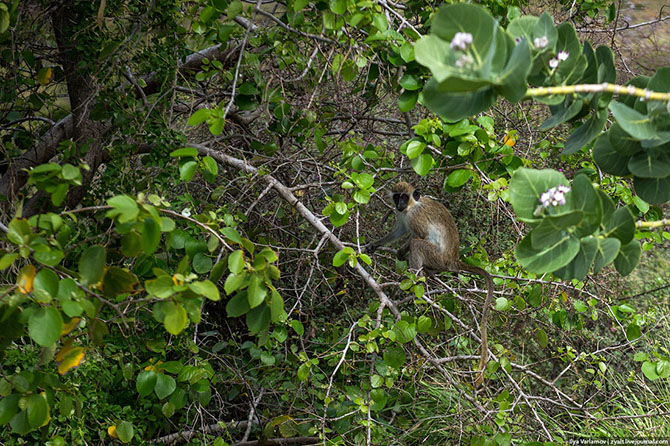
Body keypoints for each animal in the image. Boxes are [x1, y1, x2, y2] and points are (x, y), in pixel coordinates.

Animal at [368, 180, 494, 384]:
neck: (412, 206)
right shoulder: (402, 216)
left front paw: (402, 252)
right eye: (397, 197)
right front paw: (375, 244)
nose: (399, 204)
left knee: (418, 244)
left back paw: (415, 281)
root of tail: (453, 259)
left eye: (405, 197)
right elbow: (400, 231)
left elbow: (419, 235)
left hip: (437, 257)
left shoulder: (415, 217)